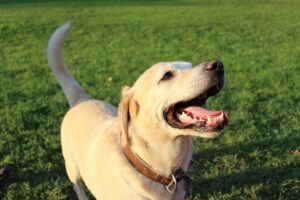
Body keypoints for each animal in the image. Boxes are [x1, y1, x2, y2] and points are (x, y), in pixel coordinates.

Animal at [47, 23, 227, 200]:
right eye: (167, 75)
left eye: (190, 66)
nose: (218, 65)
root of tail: (82, 98)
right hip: (72, 168)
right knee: (77, 186)